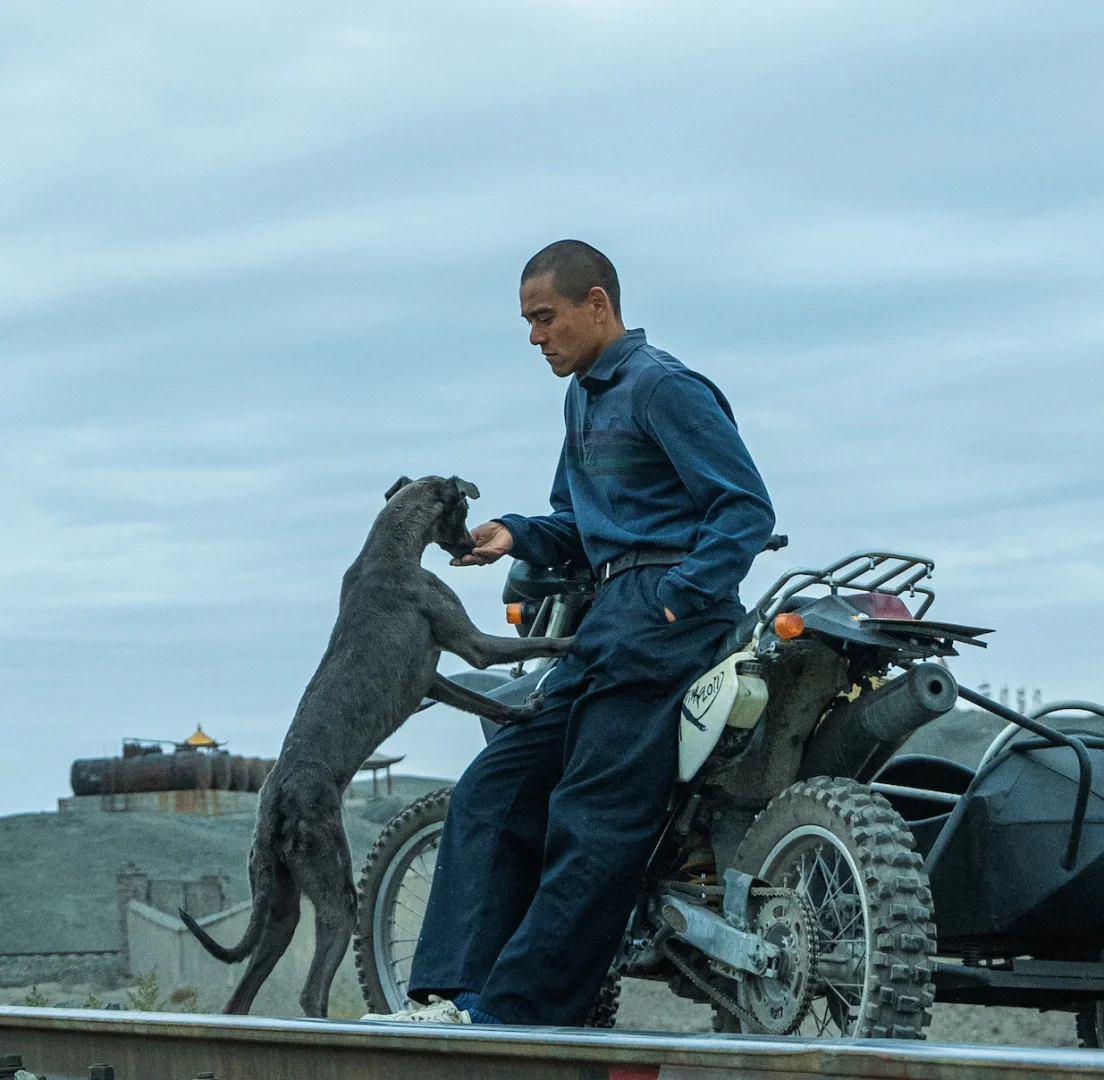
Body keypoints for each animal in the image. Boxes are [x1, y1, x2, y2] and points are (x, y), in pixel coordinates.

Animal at [179, 472, 569, 1011]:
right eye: (465, 509)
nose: (470, 545)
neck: (388, 550)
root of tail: (275, 804)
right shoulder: (472, 643)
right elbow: (534, 643)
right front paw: (574, 644)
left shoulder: (431, 681)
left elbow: (484, 702)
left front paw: (521, 711)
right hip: (336, 891)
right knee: (311, 990)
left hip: (279, 905)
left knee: (240, 998)